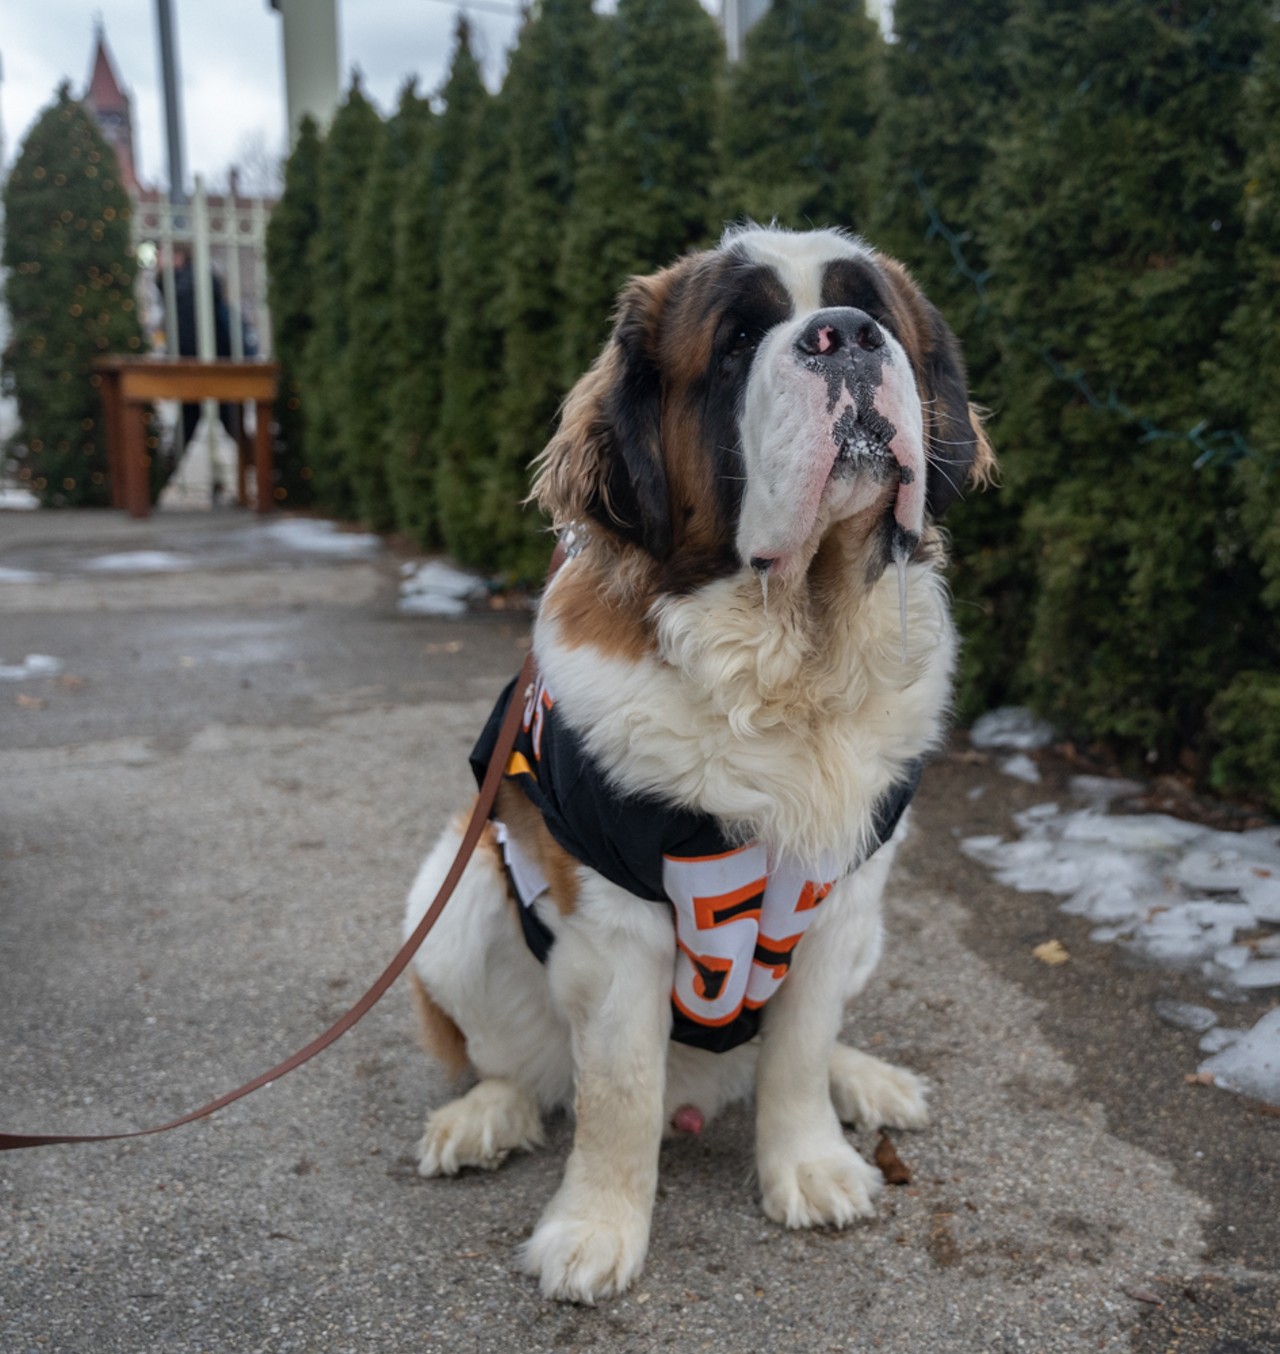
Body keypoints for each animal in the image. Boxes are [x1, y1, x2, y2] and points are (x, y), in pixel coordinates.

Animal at [400, 222, 991, 1299]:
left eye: (870, 310)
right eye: (736, 342)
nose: (843, 336)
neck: (790, 659)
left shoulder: (841, 891)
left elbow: (798, 1049)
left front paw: (809, 1160)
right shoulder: (616, 918)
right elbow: (619, 1090)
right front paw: (595, 1227)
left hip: (871, 930)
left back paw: (865, 1080)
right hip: (449, 902)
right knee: (517, 1064)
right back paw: (484, 1116)